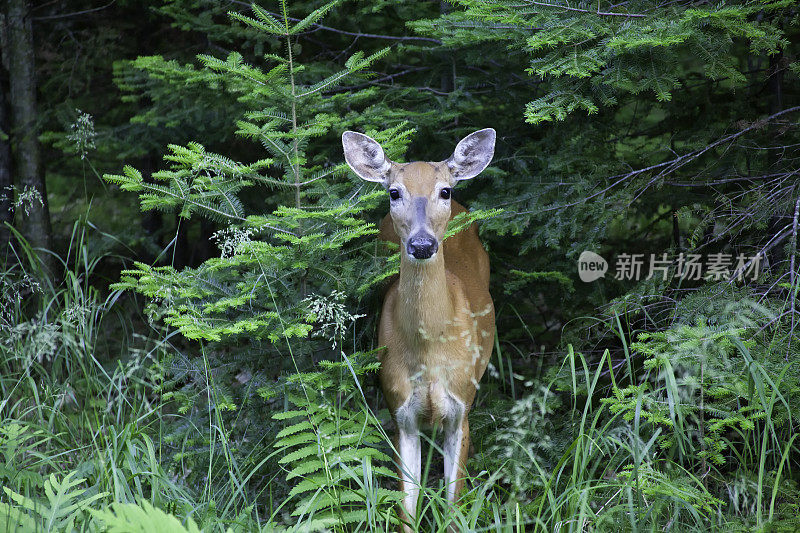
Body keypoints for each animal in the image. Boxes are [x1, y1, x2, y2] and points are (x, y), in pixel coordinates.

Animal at [342, 128, 496, 528]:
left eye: (444, 191)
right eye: (394, 192)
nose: (423, 244)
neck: (429, 350)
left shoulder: (461, 406)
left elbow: (454, 508)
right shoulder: (400, 412)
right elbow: (405, 511)